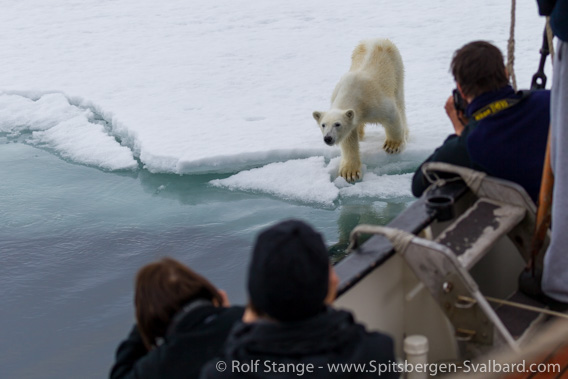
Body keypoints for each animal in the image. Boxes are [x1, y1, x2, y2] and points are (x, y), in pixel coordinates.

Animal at [310, 39, 408, 183]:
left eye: (337, 124)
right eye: (323, 125)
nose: (328, 138)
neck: (352, 93)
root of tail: (376, 39)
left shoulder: (374, 101)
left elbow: (392, 116)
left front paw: (392, 146)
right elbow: (349, 140)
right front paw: (349, 172)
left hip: (396, 66)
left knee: (399, 99)